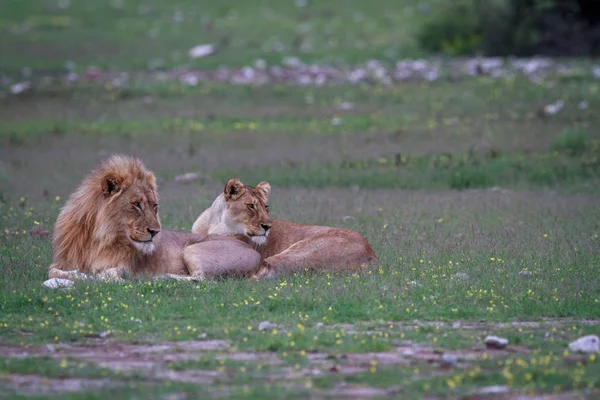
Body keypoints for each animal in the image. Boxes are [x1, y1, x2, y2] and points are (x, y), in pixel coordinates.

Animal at [45, 155, 262, 282]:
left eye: (154, 206)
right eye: (136, 204)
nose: (155, 232)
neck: (100, 237)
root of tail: (255, 251)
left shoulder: (124, 266)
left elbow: (109, 273)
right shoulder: (62, 262)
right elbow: (52, 271)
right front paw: (77, 274)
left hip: (192, 249)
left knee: (200, 279)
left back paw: (163, 277)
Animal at [192, 179, 378, 278]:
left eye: (266, 207)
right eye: (251, 206)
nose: (268, 226)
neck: (214, 224)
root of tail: (371, 253)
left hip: (301, 251)